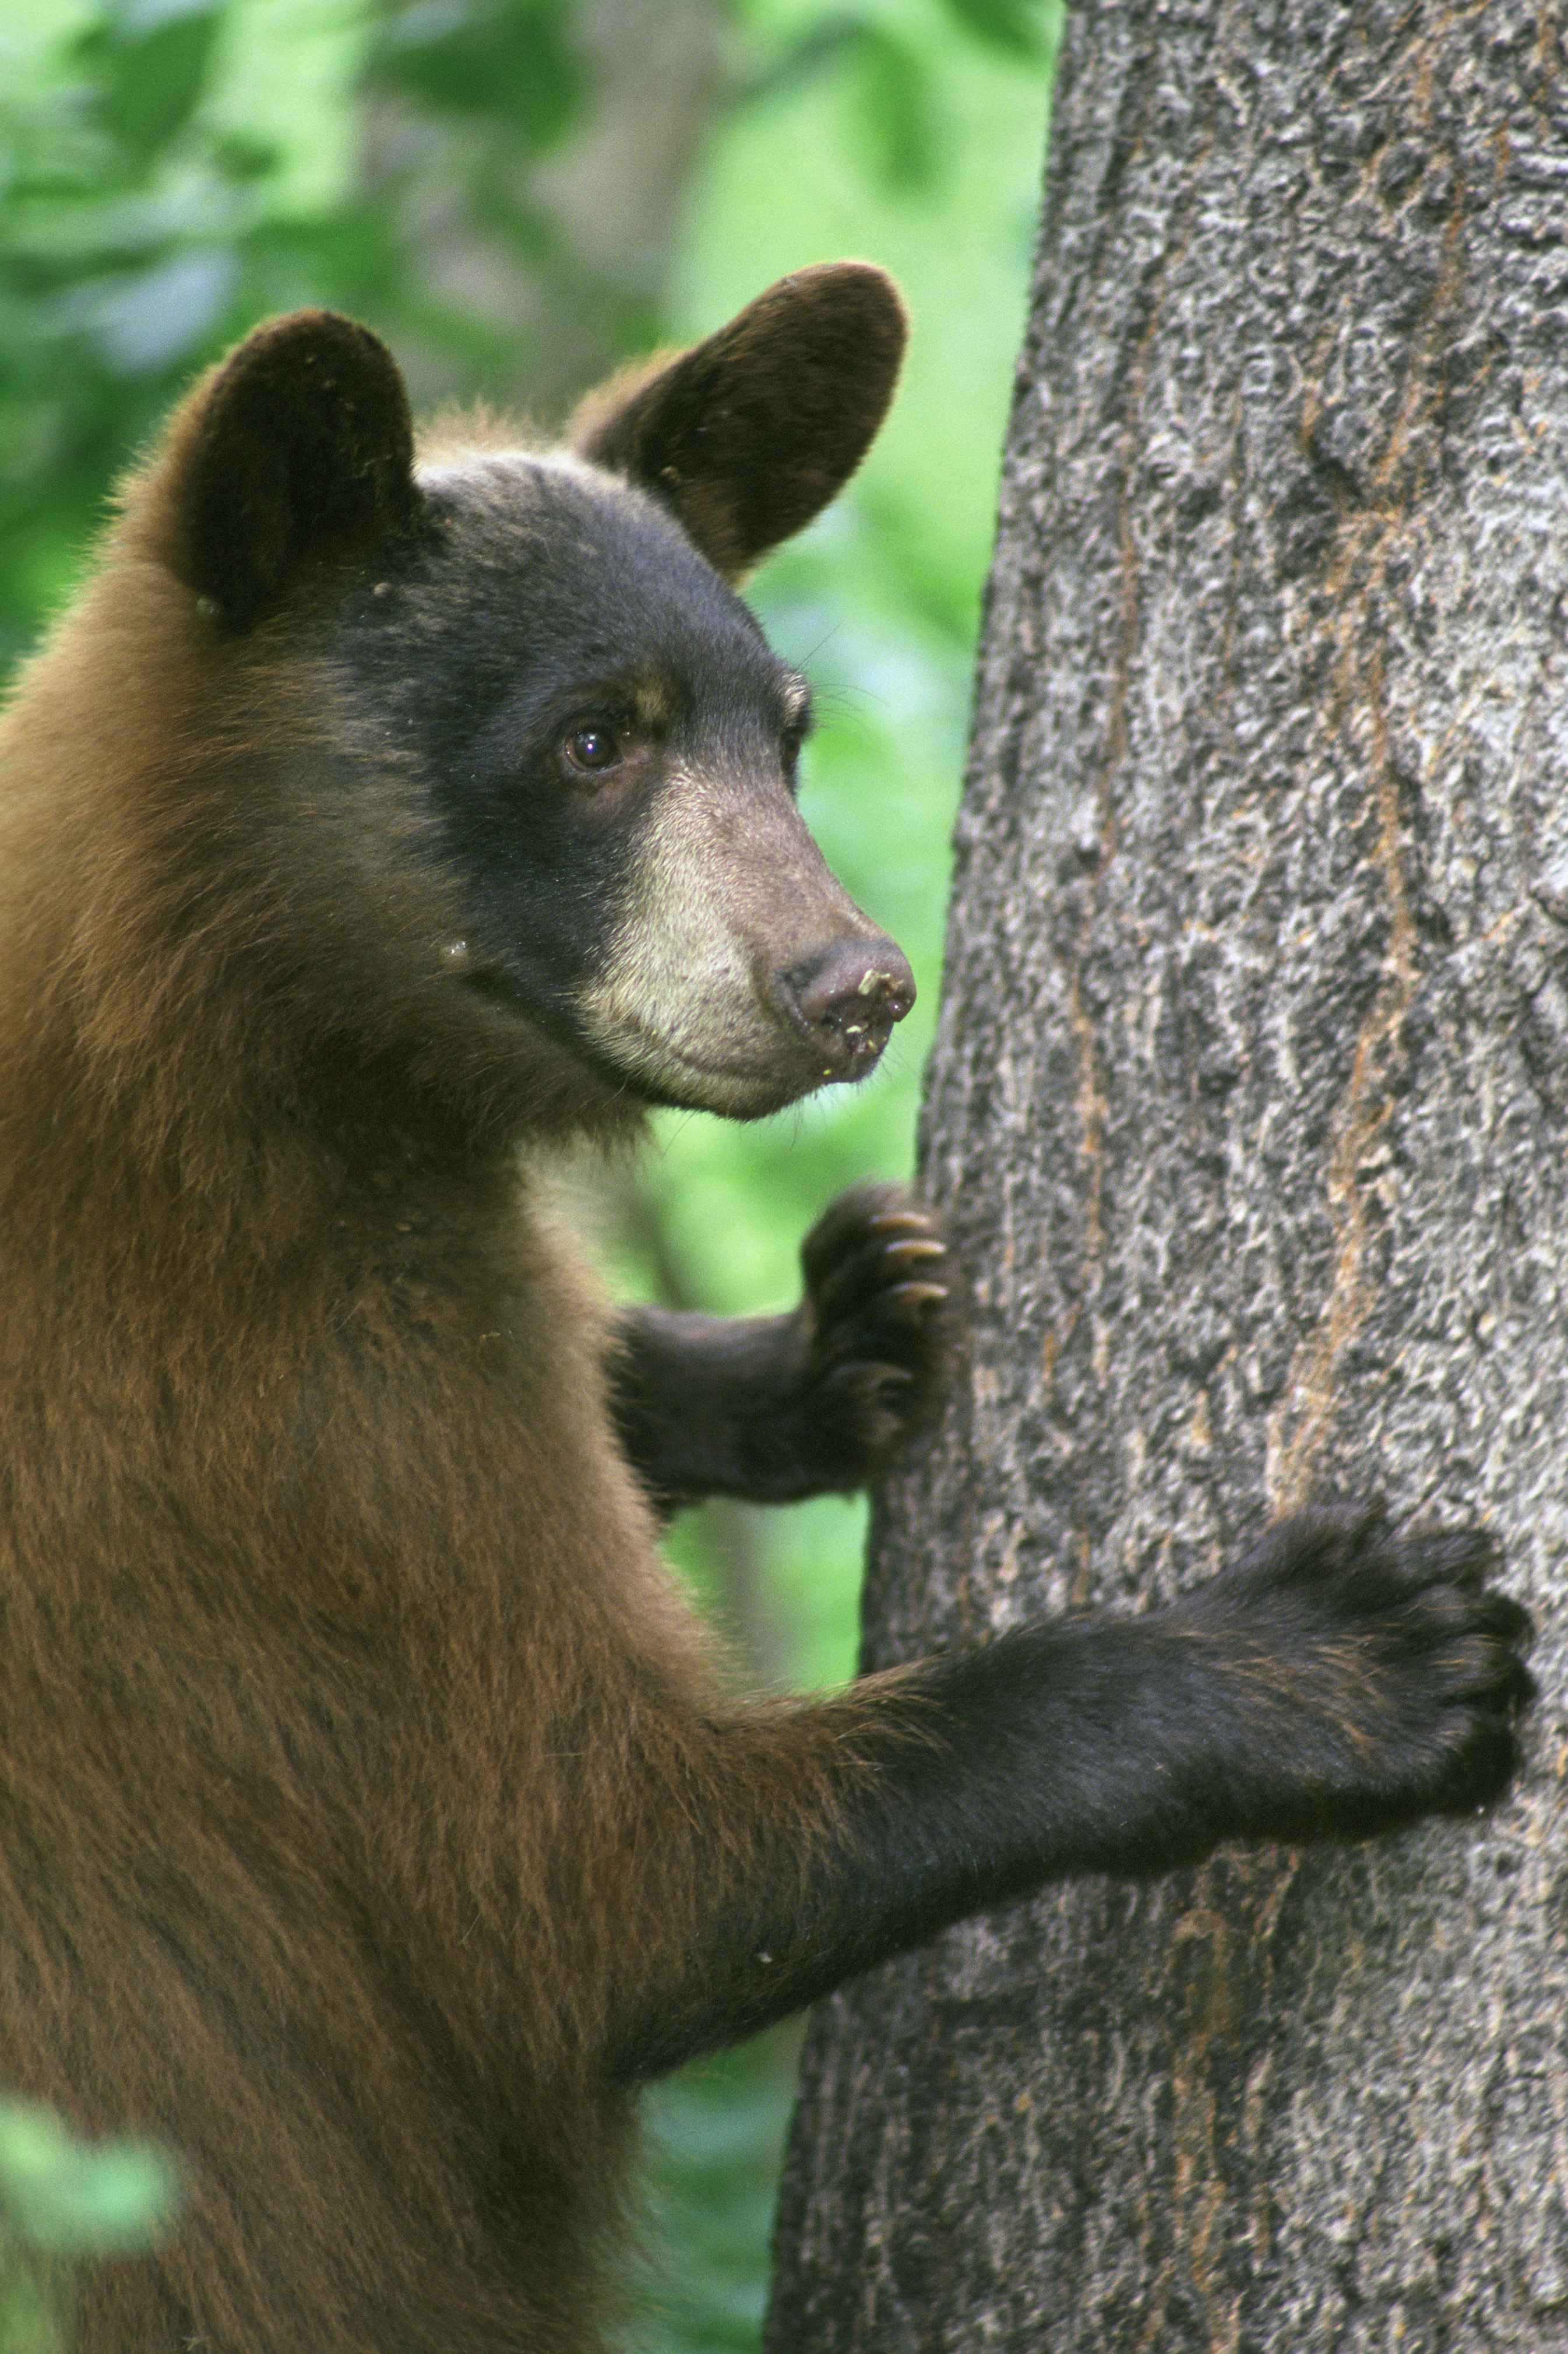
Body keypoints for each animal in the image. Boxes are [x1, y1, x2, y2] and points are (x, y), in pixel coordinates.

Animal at [0, 262, 1531, 2354]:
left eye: (781, 728)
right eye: (593, 740)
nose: (856, 981)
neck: (220, 1056)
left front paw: (825, 1339)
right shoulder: (266, 1430)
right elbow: (579, 1875)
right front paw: (1334, 1659)